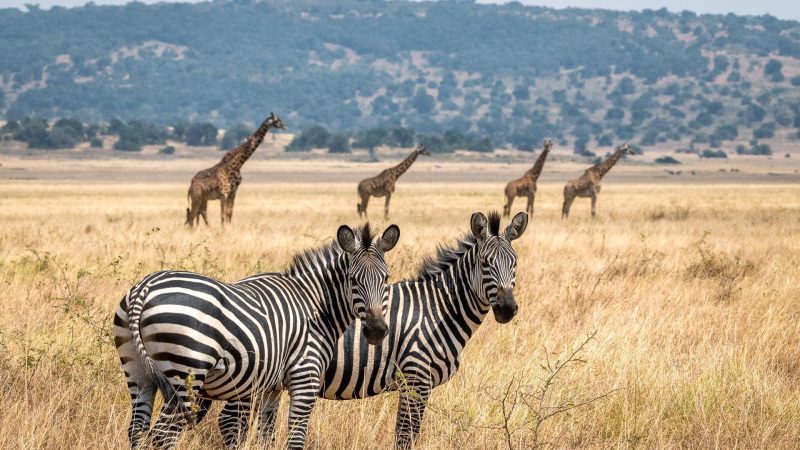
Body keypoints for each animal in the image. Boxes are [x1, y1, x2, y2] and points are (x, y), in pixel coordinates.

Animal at [114, 223, 400, 449]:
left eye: (386, 278)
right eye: (353, 280)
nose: (377, 331)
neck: (315, 307)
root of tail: (144, 288)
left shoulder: (271, 388)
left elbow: (266, 435)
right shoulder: (304, 377)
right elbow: (295, 438)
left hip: (138, 372)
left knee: (137, 429)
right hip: (186, 374)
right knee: (163, 435)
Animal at [251, 211, 528, 448]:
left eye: (515, 263)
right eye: (485, 263)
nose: (506, 309)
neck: (437, 310)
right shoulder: (416, 378)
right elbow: (405, 437)